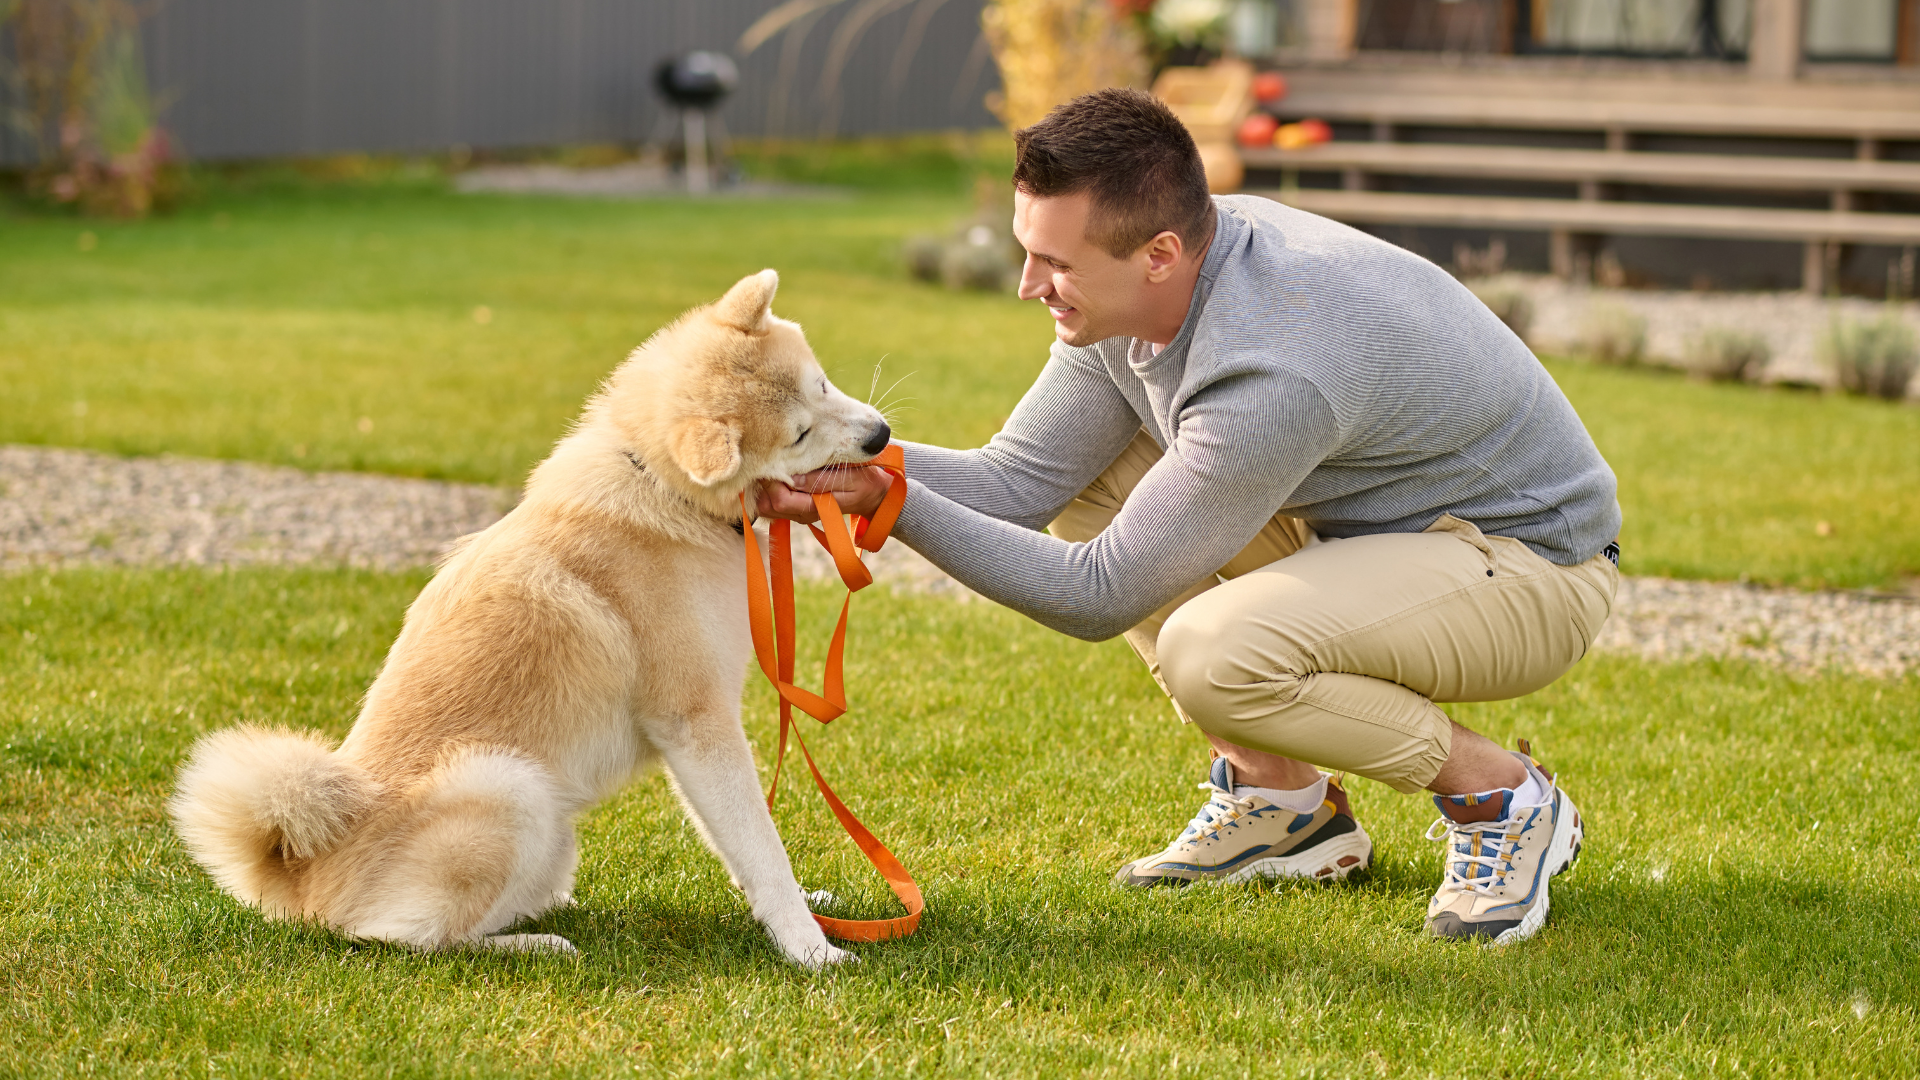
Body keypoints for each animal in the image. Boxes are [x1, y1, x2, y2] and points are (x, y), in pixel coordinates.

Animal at [168, 269, 887, 968]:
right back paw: (531, 943)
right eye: (799, 433)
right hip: (508, 787)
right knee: (401, 936)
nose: (880, 436)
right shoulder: (696, 722)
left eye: (822, 383)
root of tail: (300, 871)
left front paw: (807, 909)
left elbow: (742, 843)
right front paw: (808, 946)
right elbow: (760, 842)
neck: (661, 489)